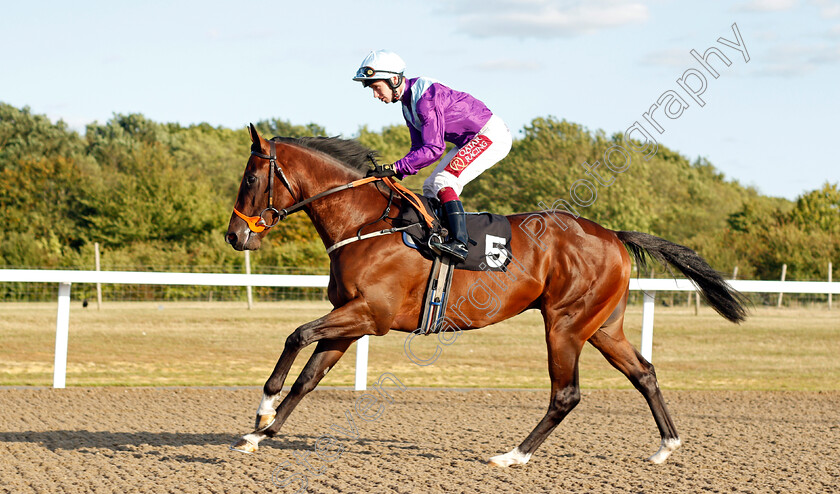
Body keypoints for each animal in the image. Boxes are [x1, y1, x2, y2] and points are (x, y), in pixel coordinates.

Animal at [225, 123, 748, 466]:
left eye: (250, 179)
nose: (234, 235)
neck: (366, 222)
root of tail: (613, 235)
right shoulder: (351, 320)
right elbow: (308, 378)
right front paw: (258, 435)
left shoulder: (371, 314)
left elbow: (296, 336)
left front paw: (263, 409)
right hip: (602, 326)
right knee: (644, 373)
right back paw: (666, 447)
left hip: (565, 324)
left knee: (566, 394)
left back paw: (513, 455)